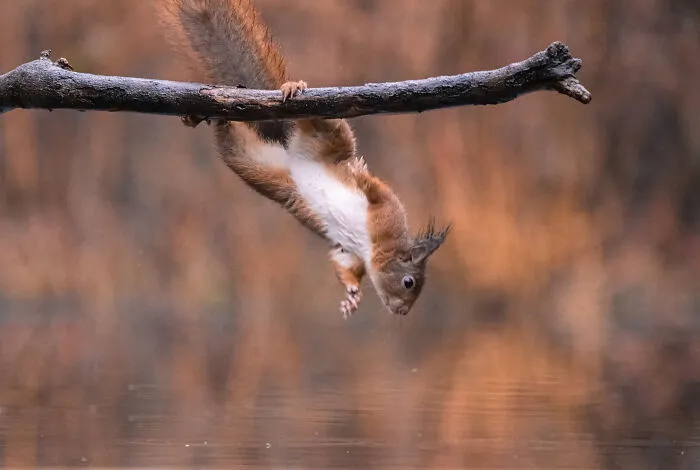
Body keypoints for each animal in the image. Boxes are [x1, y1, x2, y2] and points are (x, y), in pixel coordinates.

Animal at [157, 0, 450, 318]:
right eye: (409, 282)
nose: (402, 311)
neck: (370, 248)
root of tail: (293, 150)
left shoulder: (346, 250)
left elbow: (343, 265)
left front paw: (352, 295)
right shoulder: (385, 216)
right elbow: (380, 202)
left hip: (256, 164)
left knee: (228, 135)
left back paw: (207, 116)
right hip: (329, 138)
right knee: (321, 123)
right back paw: (292, 88)